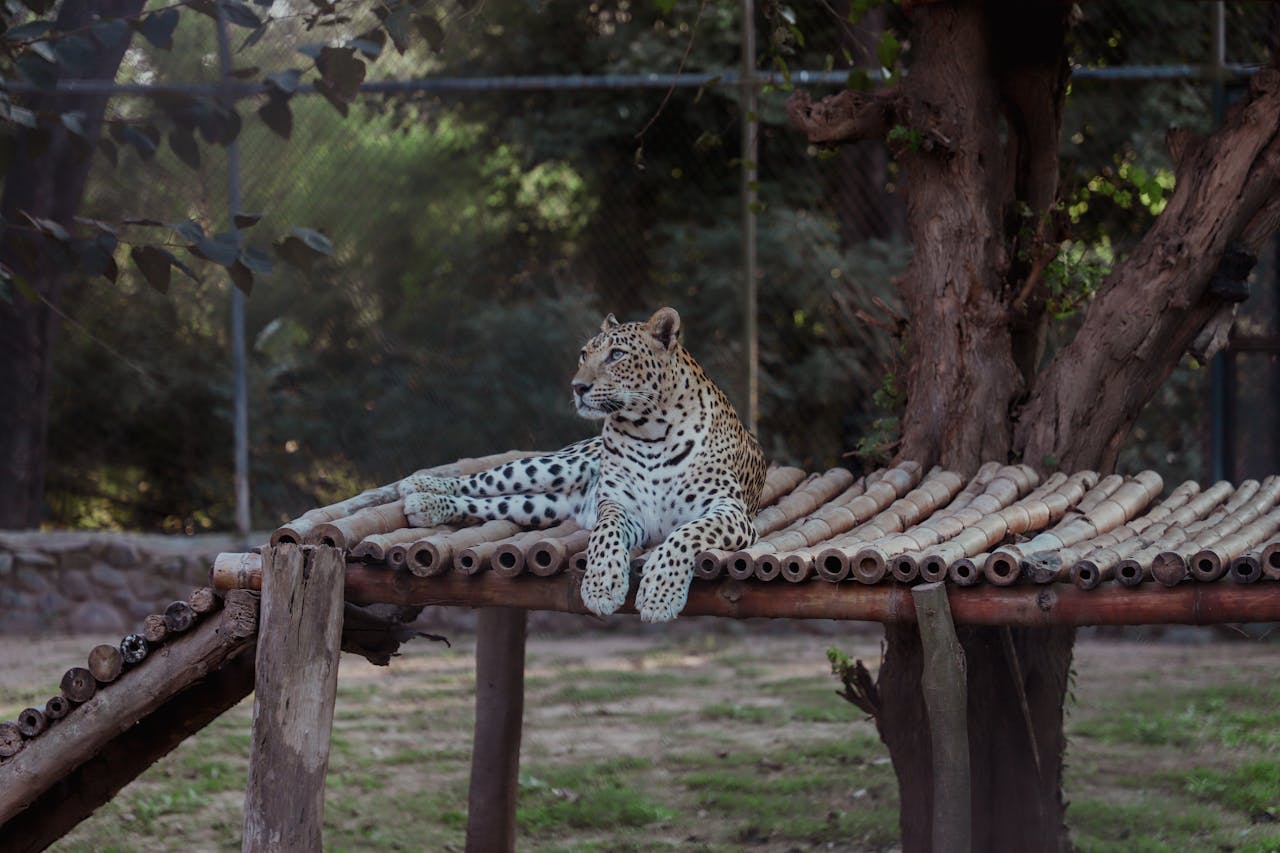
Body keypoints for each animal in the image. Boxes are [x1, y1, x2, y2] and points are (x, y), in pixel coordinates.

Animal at [398, 306, 767, 622]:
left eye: (617, 355)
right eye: (583, 355)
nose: (578, 387)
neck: (650, 432)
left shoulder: (729, 511)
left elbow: (683, 535)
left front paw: (659, 595)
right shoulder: (620, 506)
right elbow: (605, 534)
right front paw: (602, 586)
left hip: (540, 506)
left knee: (491, 504)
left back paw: (423, 504)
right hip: (548, 467)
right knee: (477, 482)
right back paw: (419, 489)